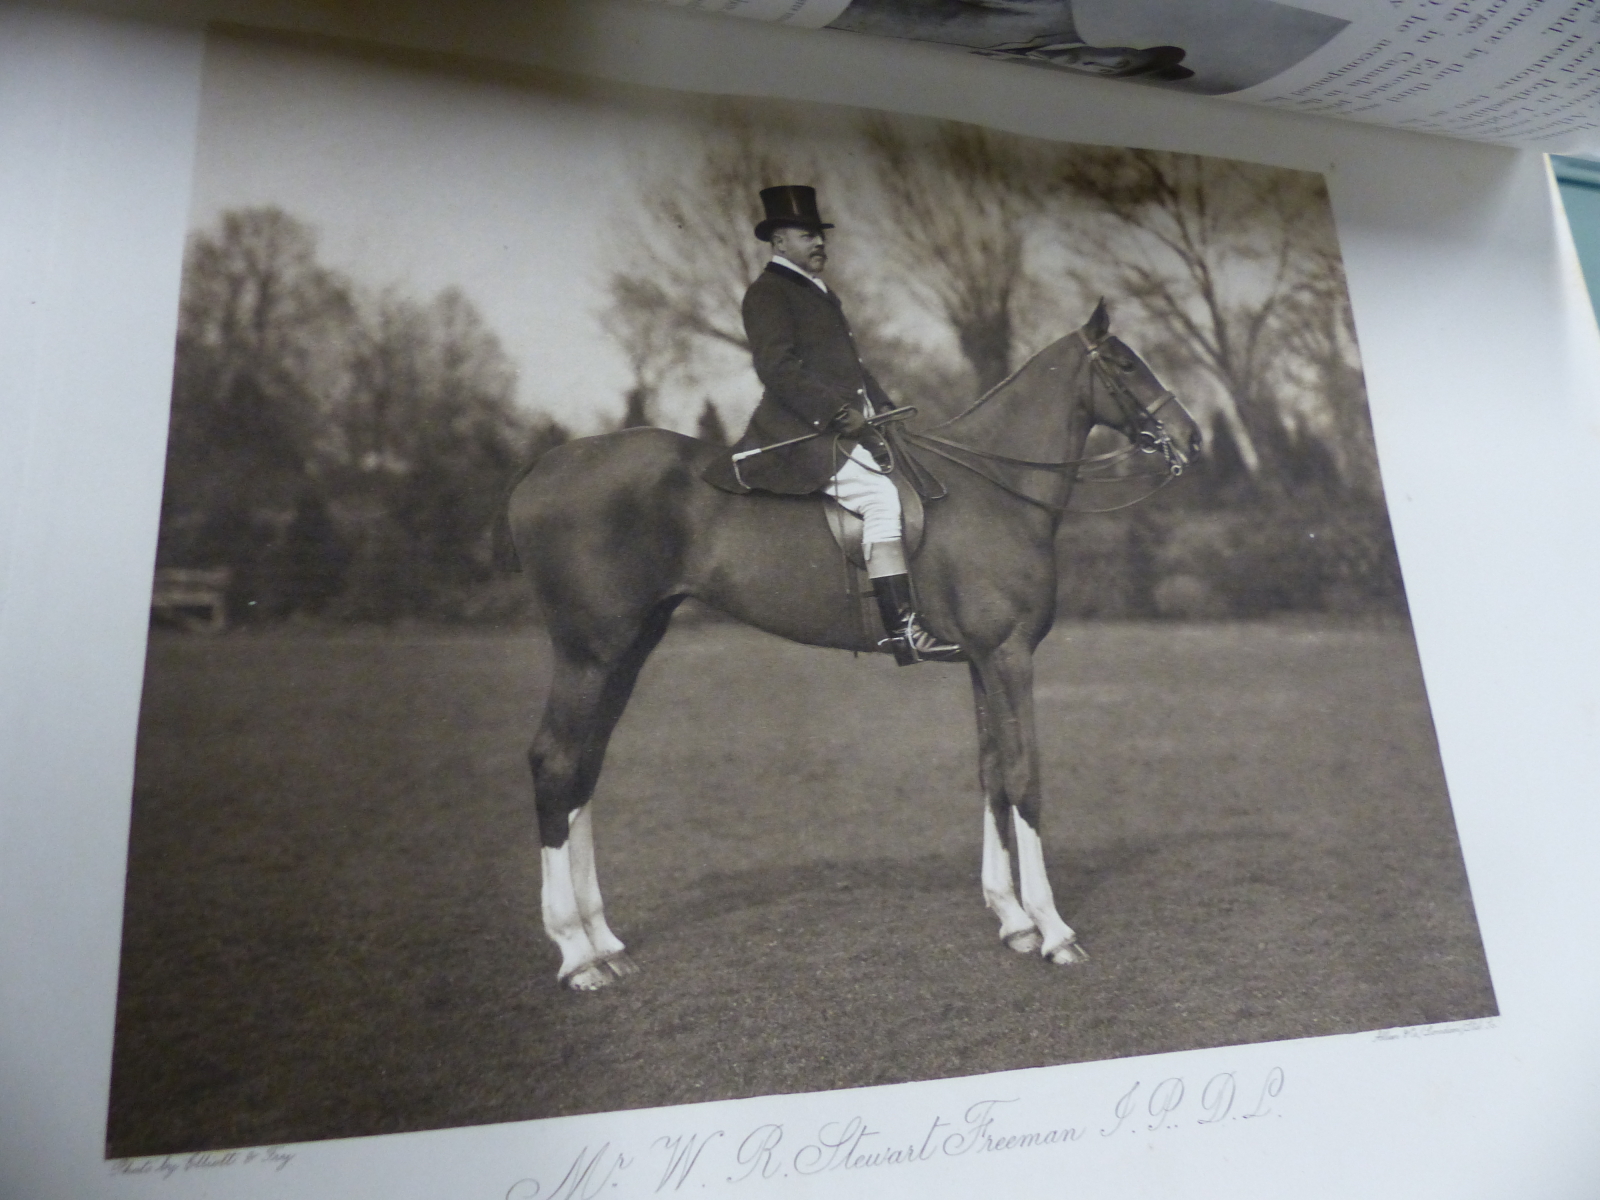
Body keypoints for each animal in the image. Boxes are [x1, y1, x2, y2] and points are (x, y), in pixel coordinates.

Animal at [505, 302, 1196, 998]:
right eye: (1126, 364)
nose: (1190, 439)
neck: (995, 488)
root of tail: (544, 468)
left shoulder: (981, 659)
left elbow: (992, 773)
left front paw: (1012, 918)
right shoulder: (1009, 655)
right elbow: (1025, 776)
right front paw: (1053, 930)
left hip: (628, 648)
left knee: (585, 766)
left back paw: (603, 941)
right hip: (589, 653)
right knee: (556, 762)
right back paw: (577, 953)